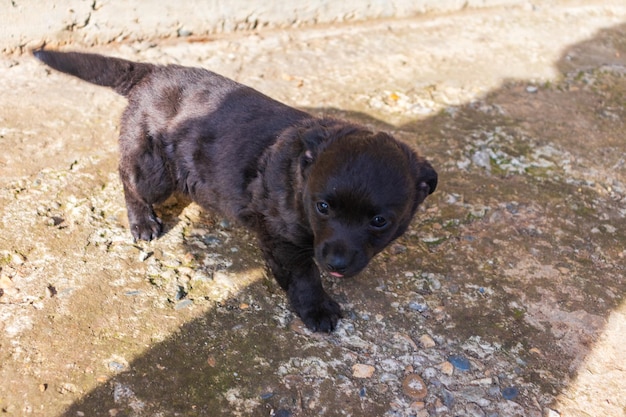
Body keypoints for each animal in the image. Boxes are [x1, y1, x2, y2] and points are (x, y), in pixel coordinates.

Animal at [34, 50, 434, 332]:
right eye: (323, 207)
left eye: (380, 221)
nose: (336, 263)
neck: (299, 177)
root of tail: (152, 72)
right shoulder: (284, 239)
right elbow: (304, 274)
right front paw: (317, 308)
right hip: (156, 172)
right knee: (128, 176)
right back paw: (142, 222)